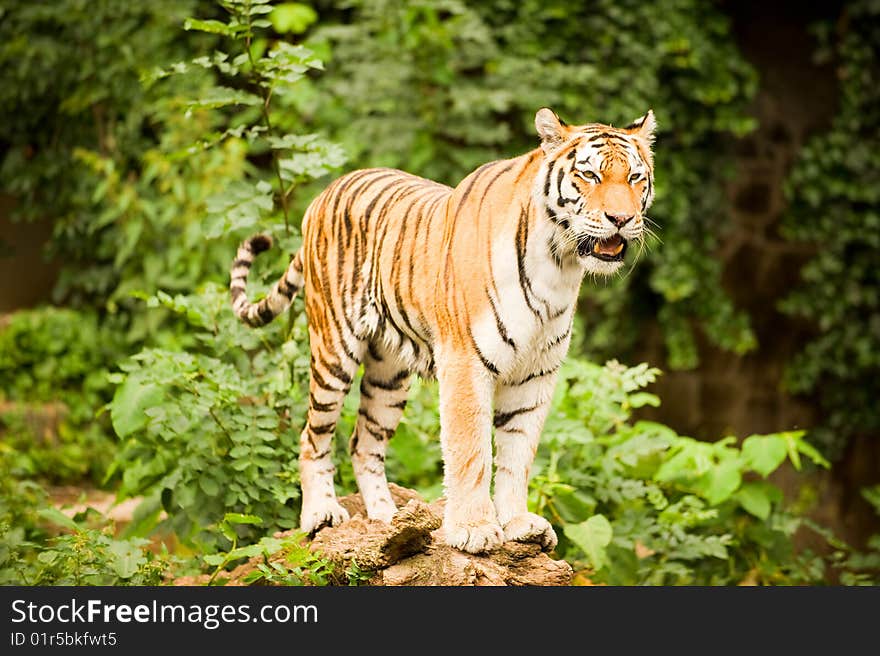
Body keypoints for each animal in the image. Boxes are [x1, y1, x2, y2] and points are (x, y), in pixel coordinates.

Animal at [230, 109, 656, 552]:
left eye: (635, 178)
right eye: (589, 175)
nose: (621, 220)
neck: (558, 264)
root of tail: (324, 194)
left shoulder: (536, 374)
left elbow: (518, 454)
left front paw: (518, 523)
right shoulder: (467, 362)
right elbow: (471, 452)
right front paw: (473, 529)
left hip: (388, 376)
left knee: (363, 443)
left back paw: (388, 520)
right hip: (334, 350)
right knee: (312, 436)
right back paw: (321, 514)